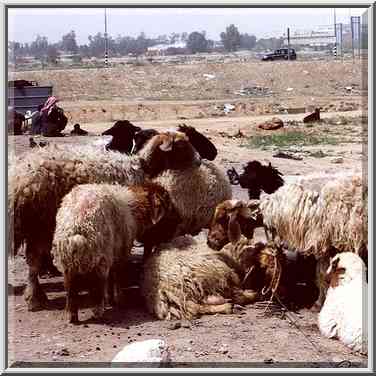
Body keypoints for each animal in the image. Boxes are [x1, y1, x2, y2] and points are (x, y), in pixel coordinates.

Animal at [52, 180, 181, 324]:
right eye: (169, 208)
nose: (179, 222)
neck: (135, 209)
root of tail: (77, 227)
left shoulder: (113, 253)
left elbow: (111, 278)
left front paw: (111, 299)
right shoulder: (121, 252)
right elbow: (117, 276)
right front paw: (119, 299)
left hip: (67, 262)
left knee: (71, 289)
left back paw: (72, 316)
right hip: (100, 258)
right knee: (97, 287)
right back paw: (99, 313)